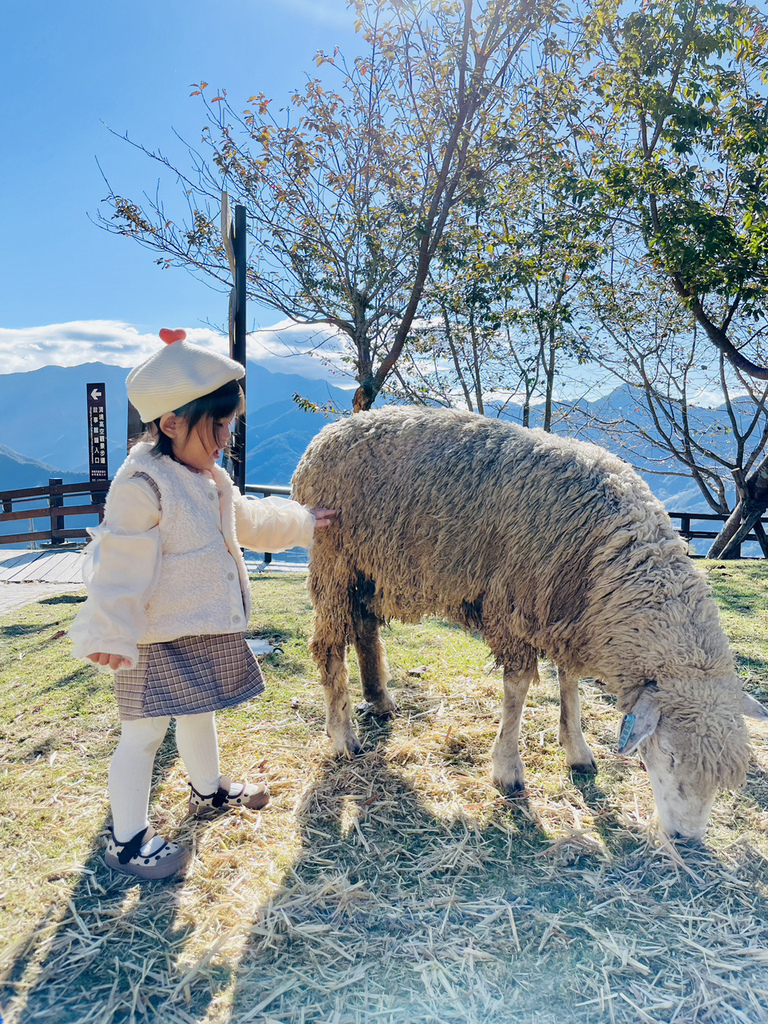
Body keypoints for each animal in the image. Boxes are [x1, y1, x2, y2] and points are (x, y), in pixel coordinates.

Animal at [290, 403, 765, 835]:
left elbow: (569, 681)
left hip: (369, 567)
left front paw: (577, 749)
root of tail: (328, 434)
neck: (609, 556)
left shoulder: (566, 614)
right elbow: (517, 688)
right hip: (335, 560)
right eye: (666, 755)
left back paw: (380, 699)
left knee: (365, 628)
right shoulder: (515, 607)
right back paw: (343, 736)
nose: (687, 839)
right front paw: (507, 770)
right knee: (329, 645)